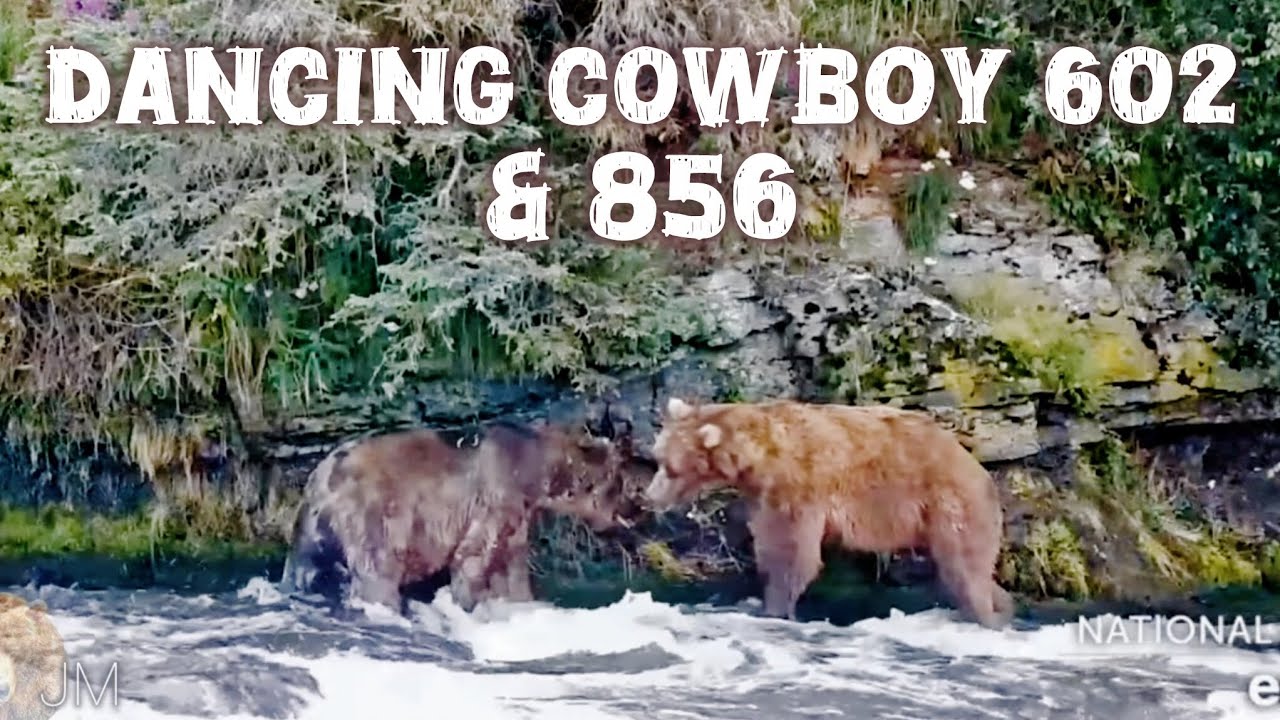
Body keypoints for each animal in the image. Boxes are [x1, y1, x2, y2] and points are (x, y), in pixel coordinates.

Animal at [280, 412, 644, 614]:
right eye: (624, 484)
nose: (636, 511)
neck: (540, 473)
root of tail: (321, 478)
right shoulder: (495, 499)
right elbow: (473, 559)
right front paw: (465, 602)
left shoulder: (518, 518)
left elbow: (512, 571)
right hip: (375, 517)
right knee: (377, 574)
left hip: (310, 530)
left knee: (303, 568)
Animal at [643, 397, 1014, 629]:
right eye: (659, 458)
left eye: (671, 468)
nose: (649, 497)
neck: (759, 458)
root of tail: (978, 467)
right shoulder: (762, 493)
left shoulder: (798, 485)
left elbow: (791, 551)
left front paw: (773, 605)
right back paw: (1004, 606)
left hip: (950, 503)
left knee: (965, 565)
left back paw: (985, 614)